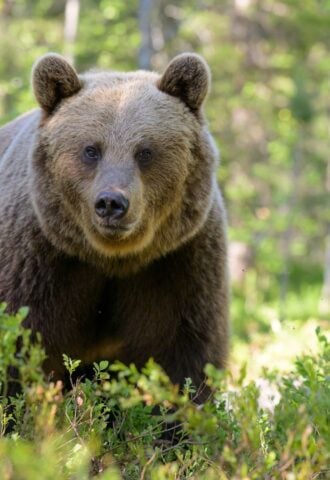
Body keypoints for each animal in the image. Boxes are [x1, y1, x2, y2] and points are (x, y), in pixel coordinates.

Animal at [0, 52, 228, 398]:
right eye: (91, 150)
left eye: (145, 151)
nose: (111, 202)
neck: (112, 258)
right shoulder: (36, 261)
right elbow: (21, 347)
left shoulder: (179, 263)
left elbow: (185, 356)